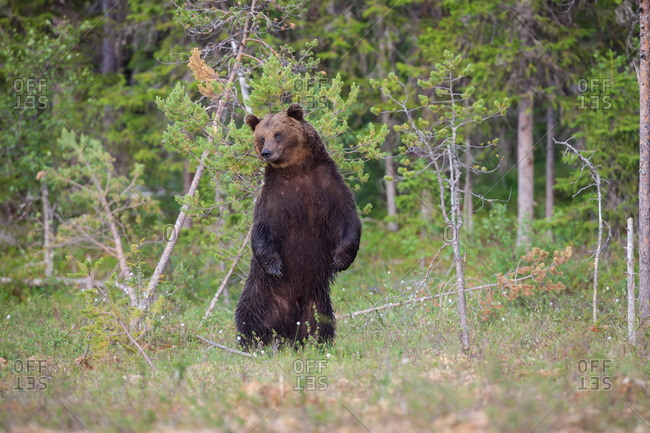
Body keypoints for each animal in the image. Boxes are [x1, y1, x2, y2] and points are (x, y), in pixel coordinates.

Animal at [234, 103, 361, 349]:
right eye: (261, 137)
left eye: (278, 134)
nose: (266, 153)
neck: (297, 169)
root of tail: (285, 328)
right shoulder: (275, 197)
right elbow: (261, 228)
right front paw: (274, 266)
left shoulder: (328, 185)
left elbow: (348, 218)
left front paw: (340, 259)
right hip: (260, 294)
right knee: (248, 317)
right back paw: (252, 342)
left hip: (317, 301)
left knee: (322, 323)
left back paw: (318, 342)